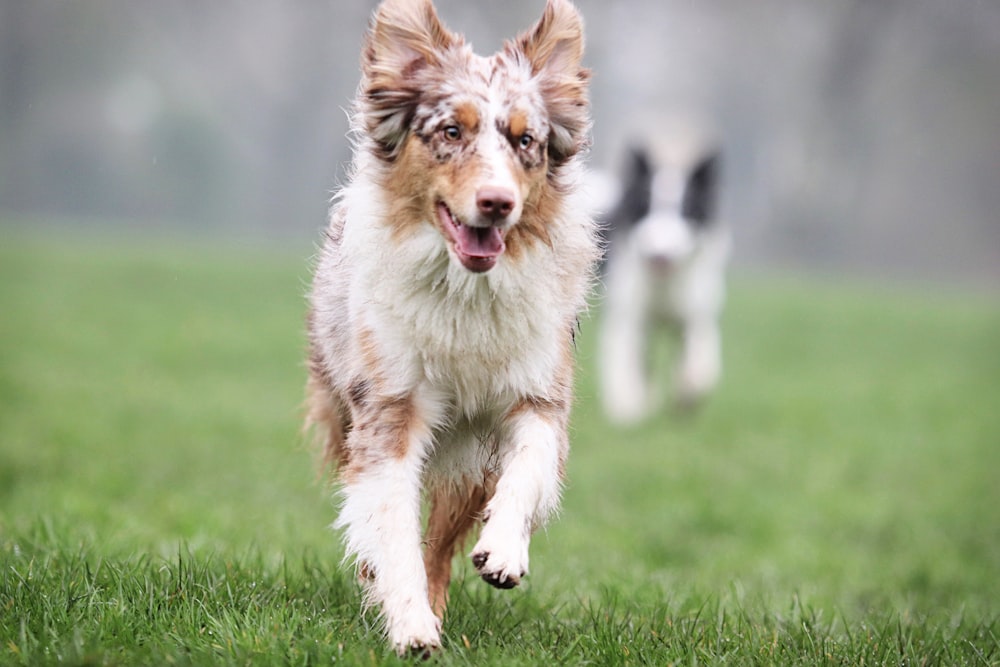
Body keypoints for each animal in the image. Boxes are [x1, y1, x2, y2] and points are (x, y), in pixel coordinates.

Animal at [596, 146, 732, 422]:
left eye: (686, 211)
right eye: (645, 208)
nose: (659, 256)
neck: (664, 287)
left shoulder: (697, 311)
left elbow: (702, 355)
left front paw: (689, 388)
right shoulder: (628, 315)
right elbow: (625, 361)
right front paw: (628, 409)